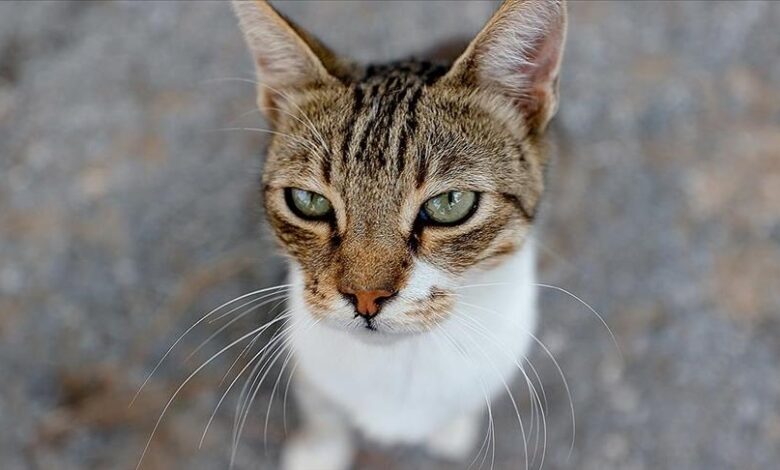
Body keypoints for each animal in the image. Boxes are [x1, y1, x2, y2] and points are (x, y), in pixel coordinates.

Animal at [232, 0, 568, 466]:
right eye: (308, 201)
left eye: (450, 203)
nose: (365, 297)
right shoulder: (310, 367)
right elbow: (323, 411)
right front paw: (320, 449)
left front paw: (452, 429)